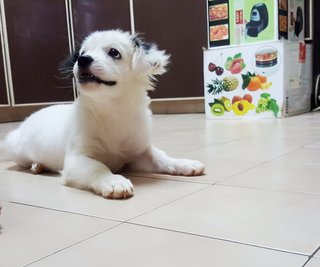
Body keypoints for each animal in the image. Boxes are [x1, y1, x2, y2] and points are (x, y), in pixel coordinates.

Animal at [3, 30, 205, 199]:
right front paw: (114, 181)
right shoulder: (76, 160)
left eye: (114, 52)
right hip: (17, 151)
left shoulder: (141, 153)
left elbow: (162, 158)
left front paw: (184, 164)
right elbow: (97, 167)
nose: (82, 59)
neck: (112, 111)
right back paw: (36, 164)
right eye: (82, 52)